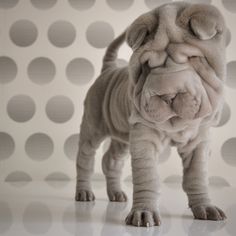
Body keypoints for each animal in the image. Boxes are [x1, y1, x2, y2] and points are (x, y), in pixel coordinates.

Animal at [74, 1, 228, 227]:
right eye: (147, 65)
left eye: (194, 58)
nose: (168, 94)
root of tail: (108, 70)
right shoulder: (143, 138)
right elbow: (147, 176)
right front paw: (143, 213)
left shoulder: (198, 142)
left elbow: (197, 176)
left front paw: (205, 208)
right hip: (93, 126)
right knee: (85, 158)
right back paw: (84, 192)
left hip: (122, 137)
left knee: (111, 160)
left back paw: (116, 194)